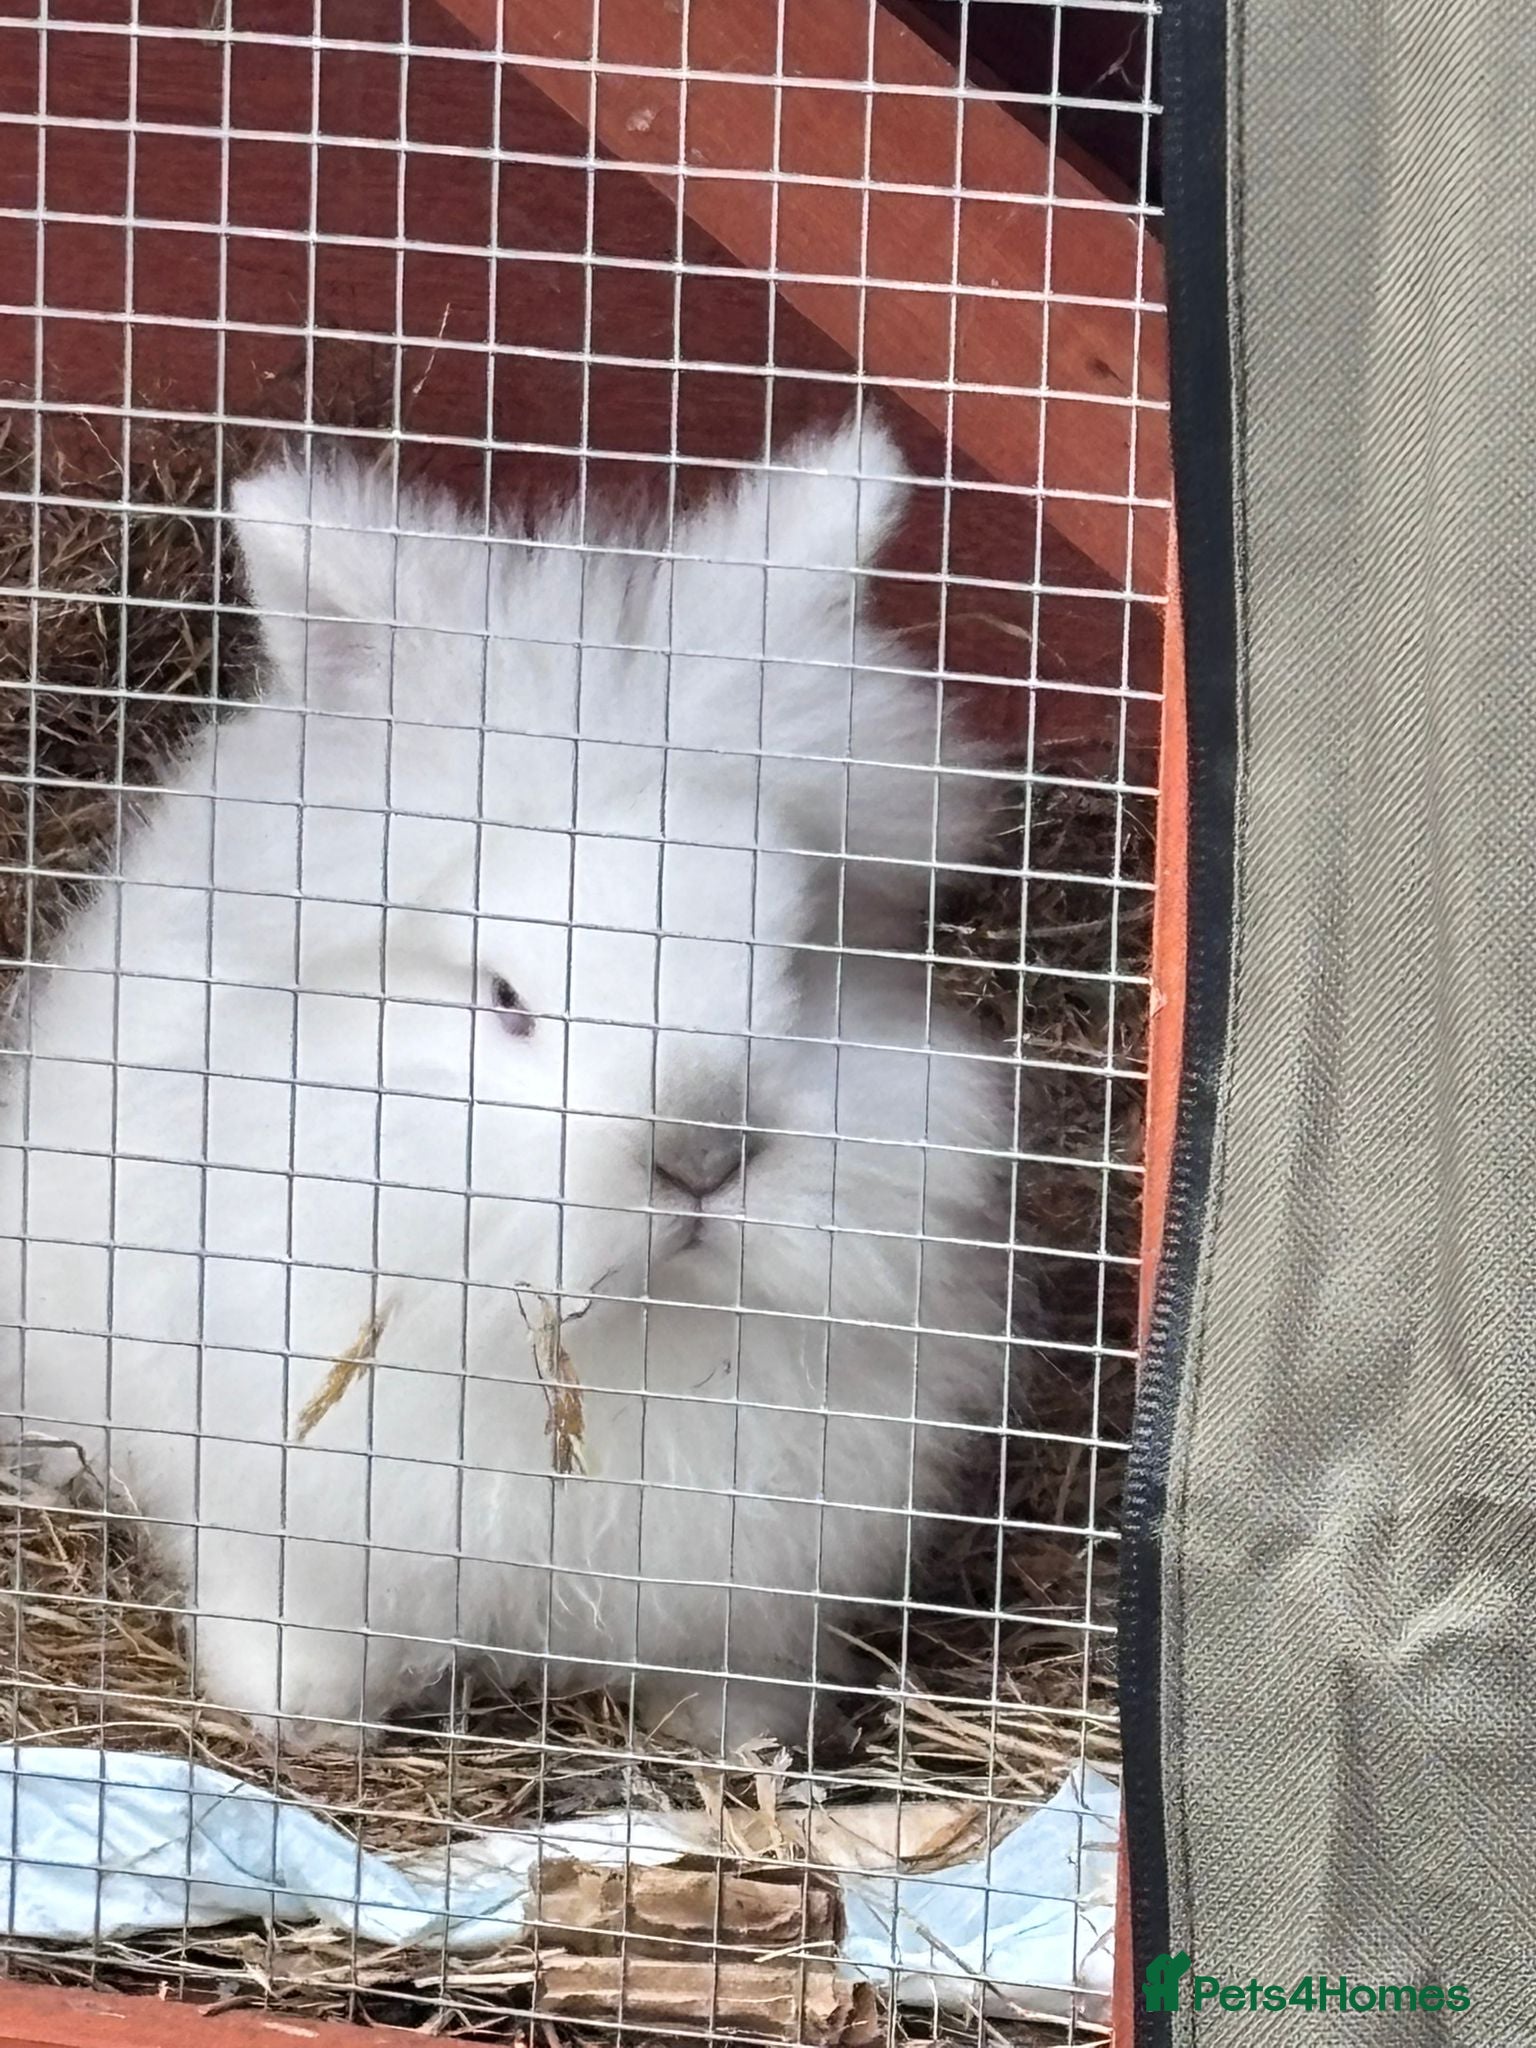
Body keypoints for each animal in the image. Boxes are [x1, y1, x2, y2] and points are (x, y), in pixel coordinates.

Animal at [0, 413, 1021, 1753]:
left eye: (806, 959)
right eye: (505, 995)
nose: (700, 1155)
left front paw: (748, 1740)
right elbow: (295, 1622)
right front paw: (301, 1716)